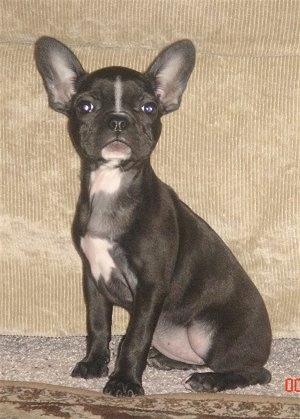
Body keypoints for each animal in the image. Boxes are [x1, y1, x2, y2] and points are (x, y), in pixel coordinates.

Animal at [34, 36, 272, 398]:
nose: (118, 119)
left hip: (211, 333)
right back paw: (167, 361)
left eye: (149, 108)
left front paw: (124, 381)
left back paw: (210, 380)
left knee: (254, 372)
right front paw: (94, 364)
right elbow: (98, 325)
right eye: (85, 107)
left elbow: (135, 338)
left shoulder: (150, 286)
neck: (112, 183)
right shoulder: (93, 278)